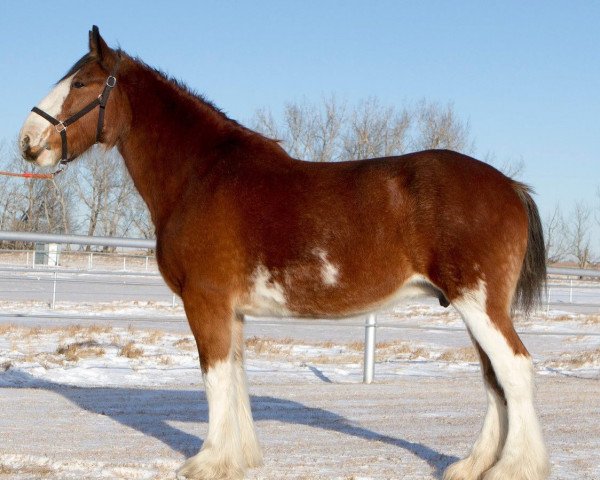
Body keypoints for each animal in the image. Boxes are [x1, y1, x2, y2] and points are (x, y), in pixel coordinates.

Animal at [18, 27, 552, 480]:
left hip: (478, 303)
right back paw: (472, 465)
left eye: (81, 83)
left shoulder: (205, 300)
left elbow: (215, 377)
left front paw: (207, 461)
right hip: (472, 307)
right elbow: (235, 377)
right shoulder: (230, 310)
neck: (201, 175)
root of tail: (510, 187)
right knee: (493, 379)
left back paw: (512, 469)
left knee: (514, 371)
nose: (27, 142)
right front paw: (239, 457)